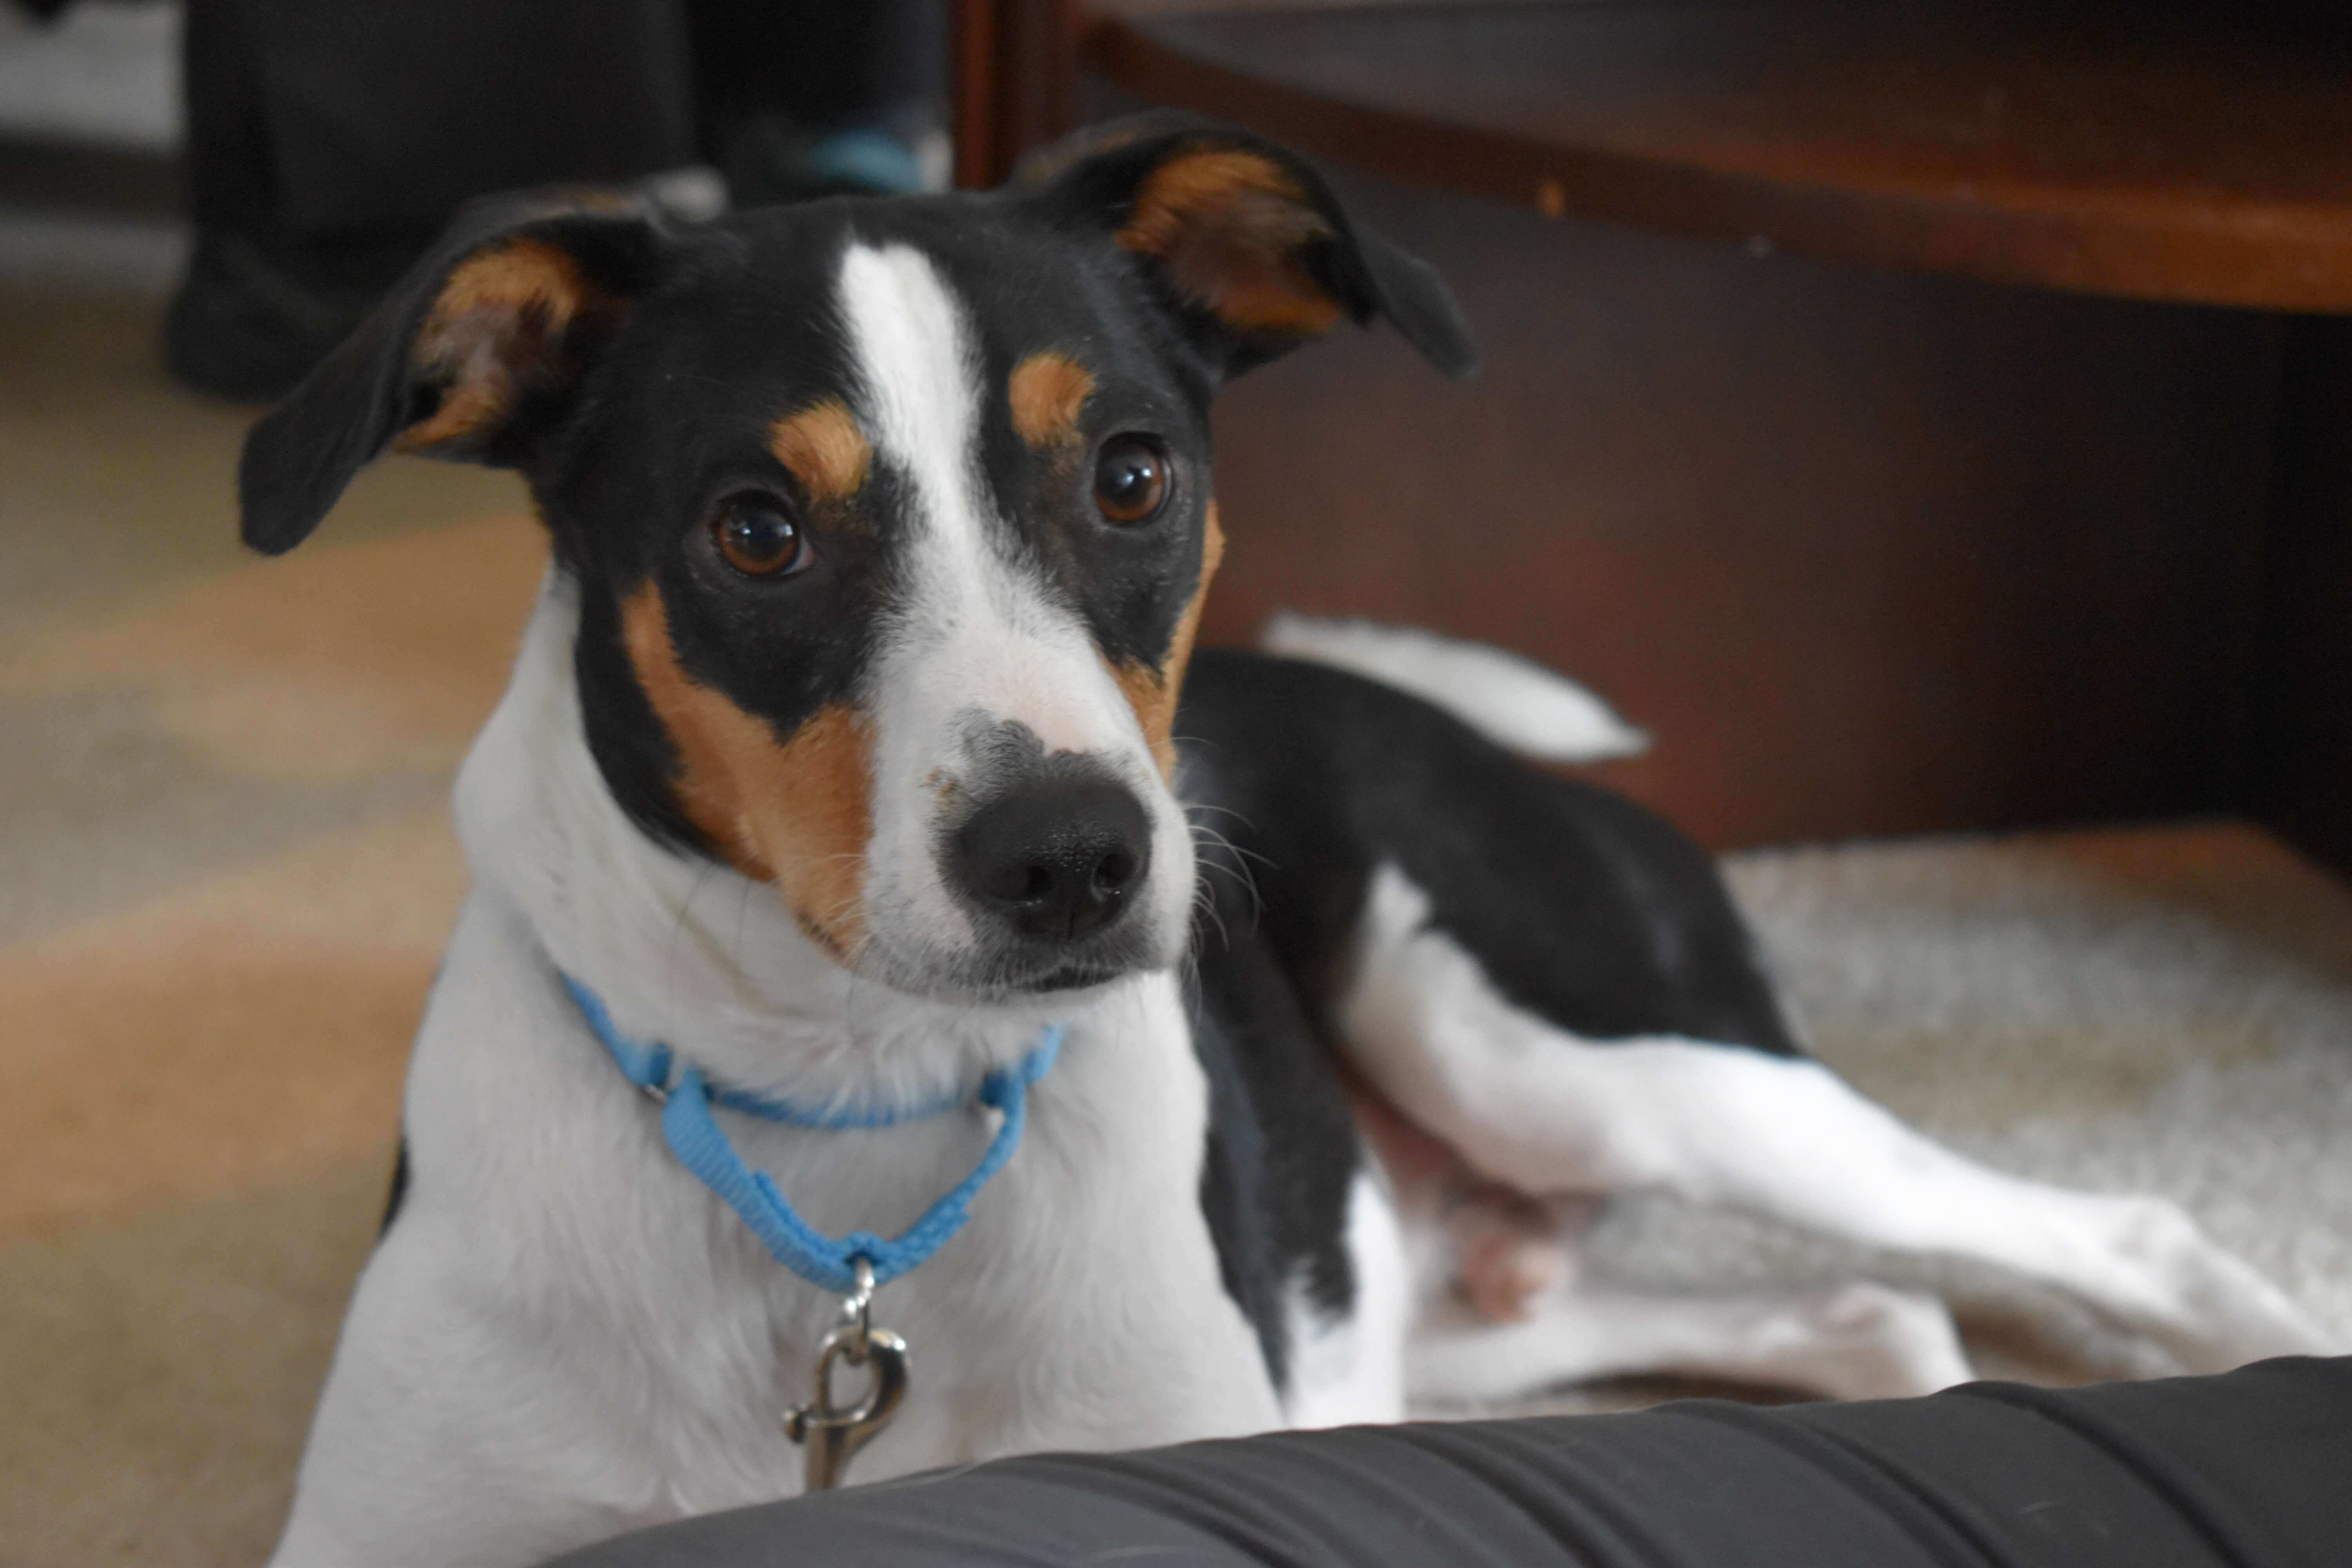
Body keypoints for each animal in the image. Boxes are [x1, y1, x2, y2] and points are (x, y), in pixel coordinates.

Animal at [239, 113, 2333, 1568]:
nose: (1075, 857)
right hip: (1431, 1325)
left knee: (2110, 1227)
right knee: (1869, 1314)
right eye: (755, 527)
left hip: (1576, 1064)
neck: (847, 1139)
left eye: (1131, 473)